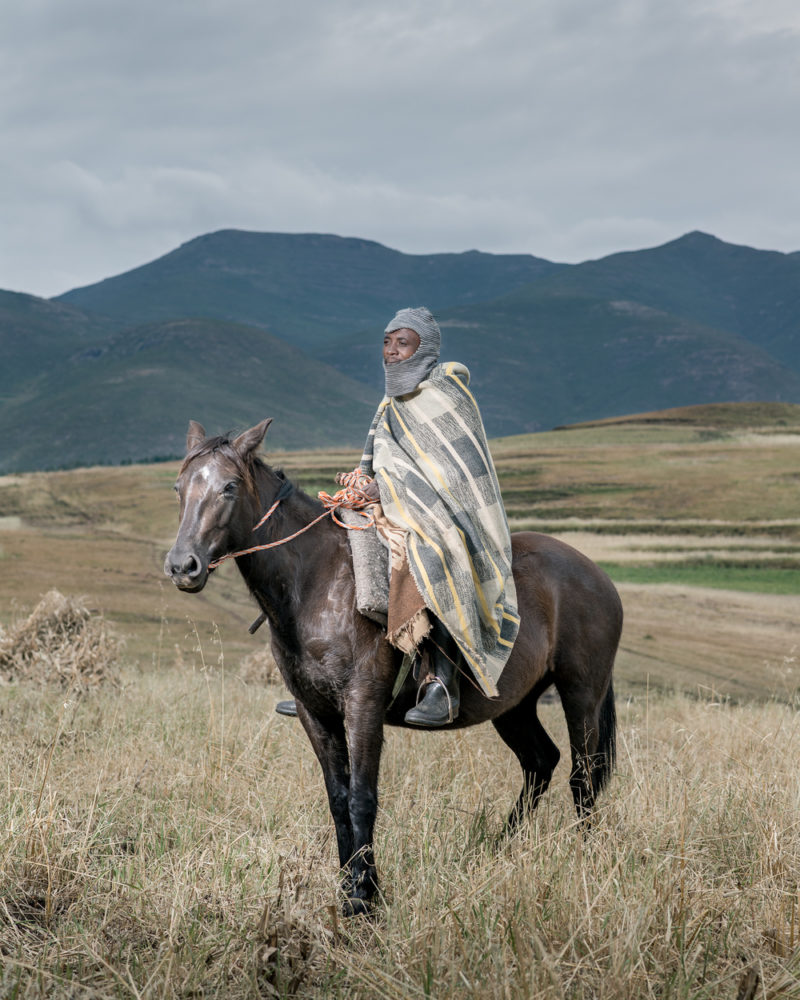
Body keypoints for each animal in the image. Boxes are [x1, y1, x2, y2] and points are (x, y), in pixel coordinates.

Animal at [164, 418, 624, 916]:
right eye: (179, 487)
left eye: (229, 486)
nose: (183, 566)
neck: (317, 582)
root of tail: (597, 575)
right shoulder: (314, 713)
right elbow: (338, 798)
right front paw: (348, 887)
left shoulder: (363, 704)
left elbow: (362, 798)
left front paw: (364, 900)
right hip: (513, 706)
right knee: (540, 762)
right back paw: (495, 850)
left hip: (581, 694)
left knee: (583, 779)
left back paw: (583, 860)